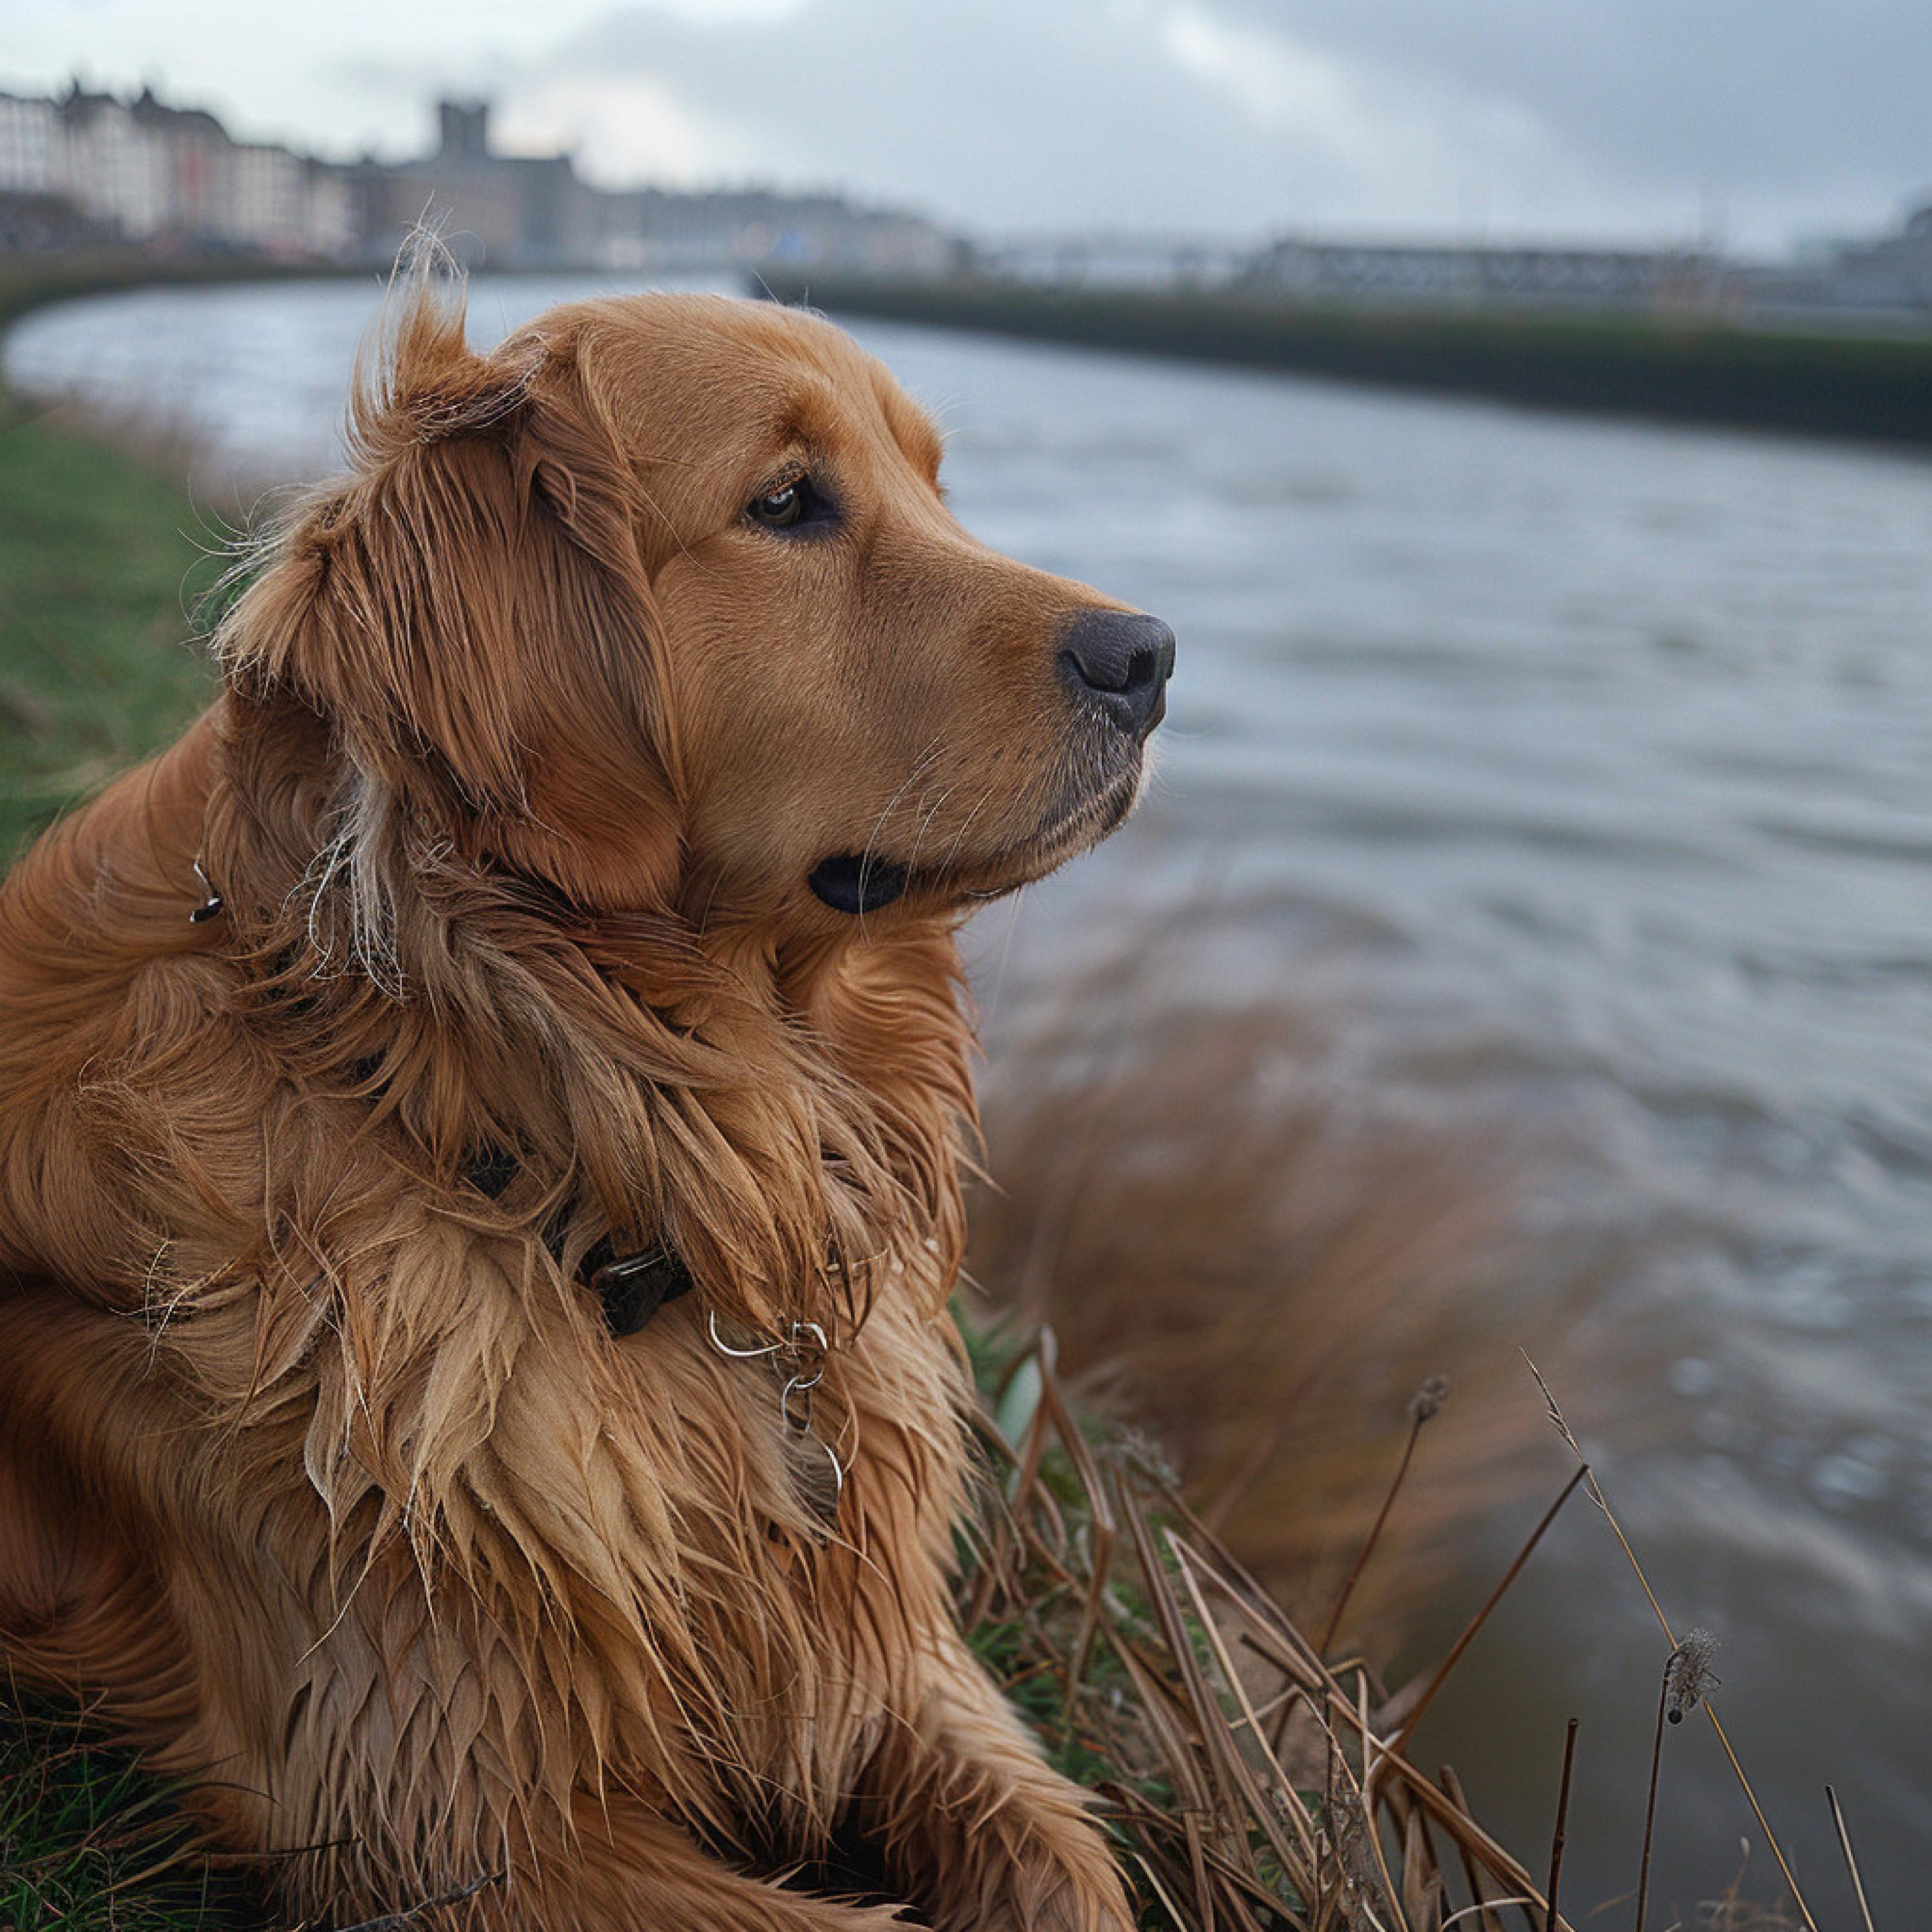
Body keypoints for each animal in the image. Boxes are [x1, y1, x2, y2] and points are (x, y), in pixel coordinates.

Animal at [0, 276, 1167, 1932]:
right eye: (786, 504)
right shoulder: (444, 1816)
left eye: (934, 484)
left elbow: (1068, 1868)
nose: (1151, 656)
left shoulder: (905, 1662)